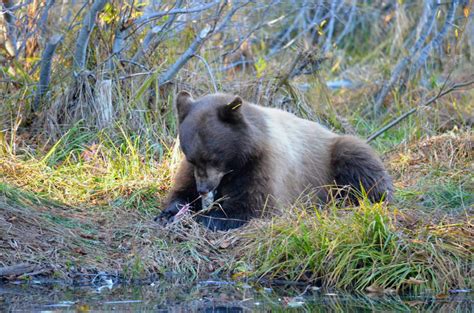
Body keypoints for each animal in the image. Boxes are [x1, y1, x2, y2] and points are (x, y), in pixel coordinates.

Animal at [156, 90, 392, 229]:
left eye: (212, 157)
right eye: (193, 158)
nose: (204, 189)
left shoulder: (264, 164)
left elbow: (254, 205)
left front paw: (207, 217)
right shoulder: (191, 170)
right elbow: (182, 189)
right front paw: (170, 211)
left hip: (335, 155)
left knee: (359, 161)